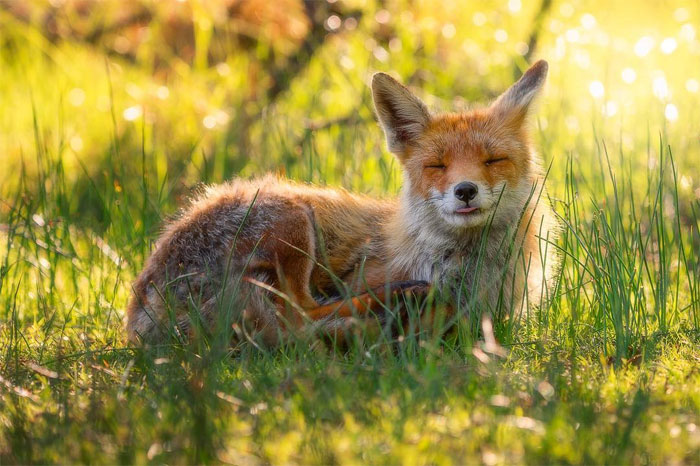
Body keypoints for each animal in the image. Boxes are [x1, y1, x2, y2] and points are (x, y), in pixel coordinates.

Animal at [129, 59, 560, 346]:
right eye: (437, 165)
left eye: (493, 160)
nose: (465, 190)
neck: (469, 270)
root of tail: (138, 314)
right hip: (292, 222)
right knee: (299, 317)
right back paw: (383, 310)